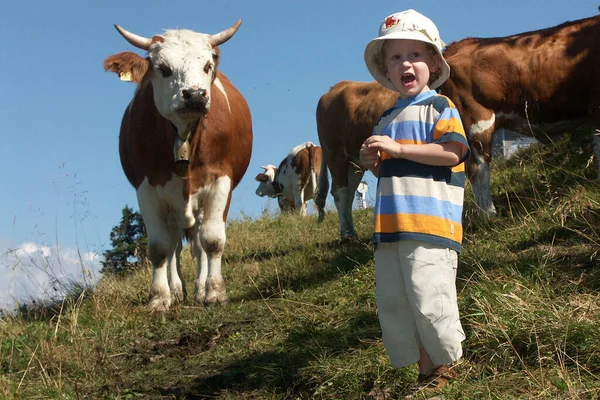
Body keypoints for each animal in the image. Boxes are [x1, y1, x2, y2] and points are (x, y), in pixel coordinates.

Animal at [103, 20, 253, 310]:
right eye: (163, 68)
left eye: (207, 65)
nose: (195, 95)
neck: (183, 136)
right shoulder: (147, 188)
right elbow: (160, 247)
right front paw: (160, 297)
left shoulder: (221, 180)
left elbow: (212, 240)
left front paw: (214, 291)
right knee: (174, 245)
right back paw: (176, 289)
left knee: (198, 242)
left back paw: (200, 287)